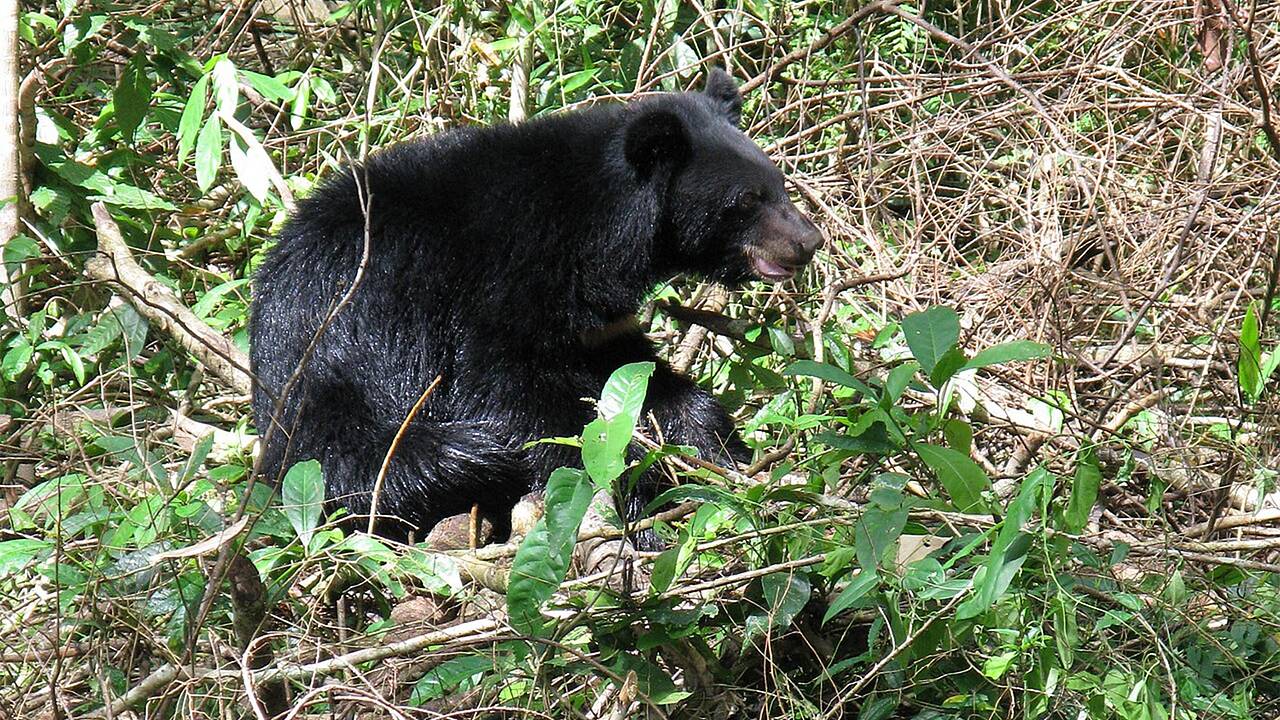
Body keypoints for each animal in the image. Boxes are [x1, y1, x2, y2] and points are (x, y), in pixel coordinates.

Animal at [249, 69, 822, 543]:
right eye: (746, 201)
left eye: (778, 184)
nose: (809, 241)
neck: (598, 233)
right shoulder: (494, 286)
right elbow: (510, 394)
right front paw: (641, 498)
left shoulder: (596, 321)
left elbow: (636, 374)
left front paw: (724, 452)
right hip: (331, 377)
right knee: (379, 463)